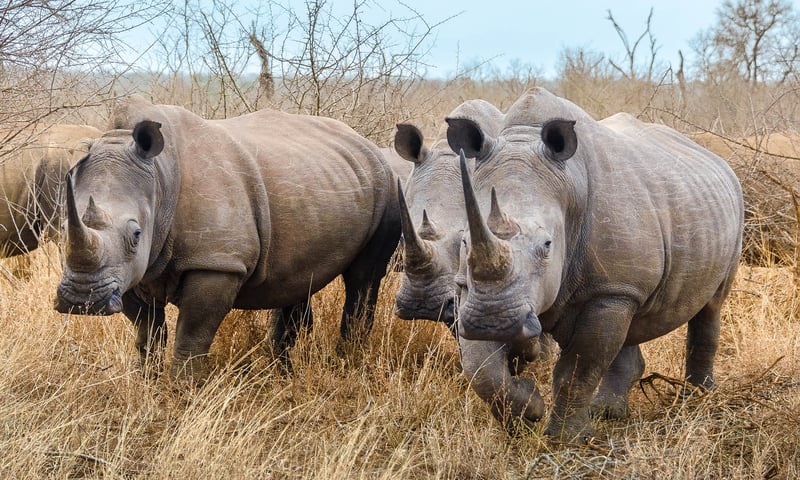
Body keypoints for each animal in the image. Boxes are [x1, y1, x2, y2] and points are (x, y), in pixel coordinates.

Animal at [54, 95, 400, 379]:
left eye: (137, 235)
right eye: (64, 227)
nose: (82, 300)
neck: (160, 178)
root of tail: (365, 143)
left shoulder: (217, 262)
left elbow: (192, 336)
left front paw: (182, 393)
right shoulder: (127, 272)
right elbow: (147, 334)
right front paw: (147, 385)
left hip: (388, 186)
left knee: (364, 278)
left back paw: (348, 364)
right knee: (300, 278)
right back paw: (283, 374)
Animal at [446, 88, 743, 442]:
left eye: (547, 245)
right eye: (464, 240)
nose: (492, 322)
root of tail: (720, 161)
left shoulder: (609, 289)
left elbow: (580, 368)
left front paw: (563, 439)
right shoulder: (474, 291)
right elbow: (480, 368)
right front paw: (527, 411)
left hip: (731, 208)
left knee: (711, 305)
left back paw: (697, 398)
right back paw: (608, 412)